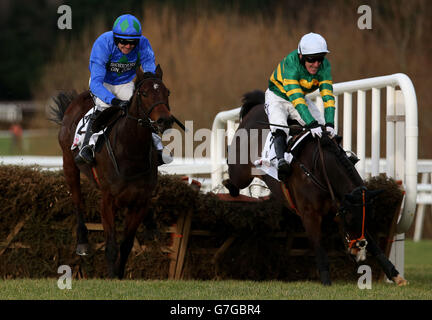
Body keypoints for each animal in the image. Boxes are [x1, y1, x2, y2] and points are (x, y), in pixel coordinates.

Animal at [52, 64, 176, 278]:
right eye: (144, 93)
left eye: (166, 92)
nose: (164, 120)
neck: (131, 152)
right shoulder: (107, 201)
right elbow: (111, 246)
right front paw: (111, 277)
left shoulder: (138, 203)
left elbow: (126, 246)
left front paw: (119, 275)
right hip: (69, 165)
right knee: (78, 202)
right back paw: (82, 242)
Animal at [223, 89, 408, 284]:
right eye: (350, 219)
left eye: (370, 218)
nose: (357, 250)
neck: (319, 169)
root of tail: (255, 108)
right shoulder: (309, 215)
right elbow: (319, 247)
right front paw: (326, 280)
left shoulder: (340, 209)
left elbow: (373, 242)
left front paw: (395, 274)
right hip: (241, 171)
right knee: (234, 176)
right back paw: (230, 186)